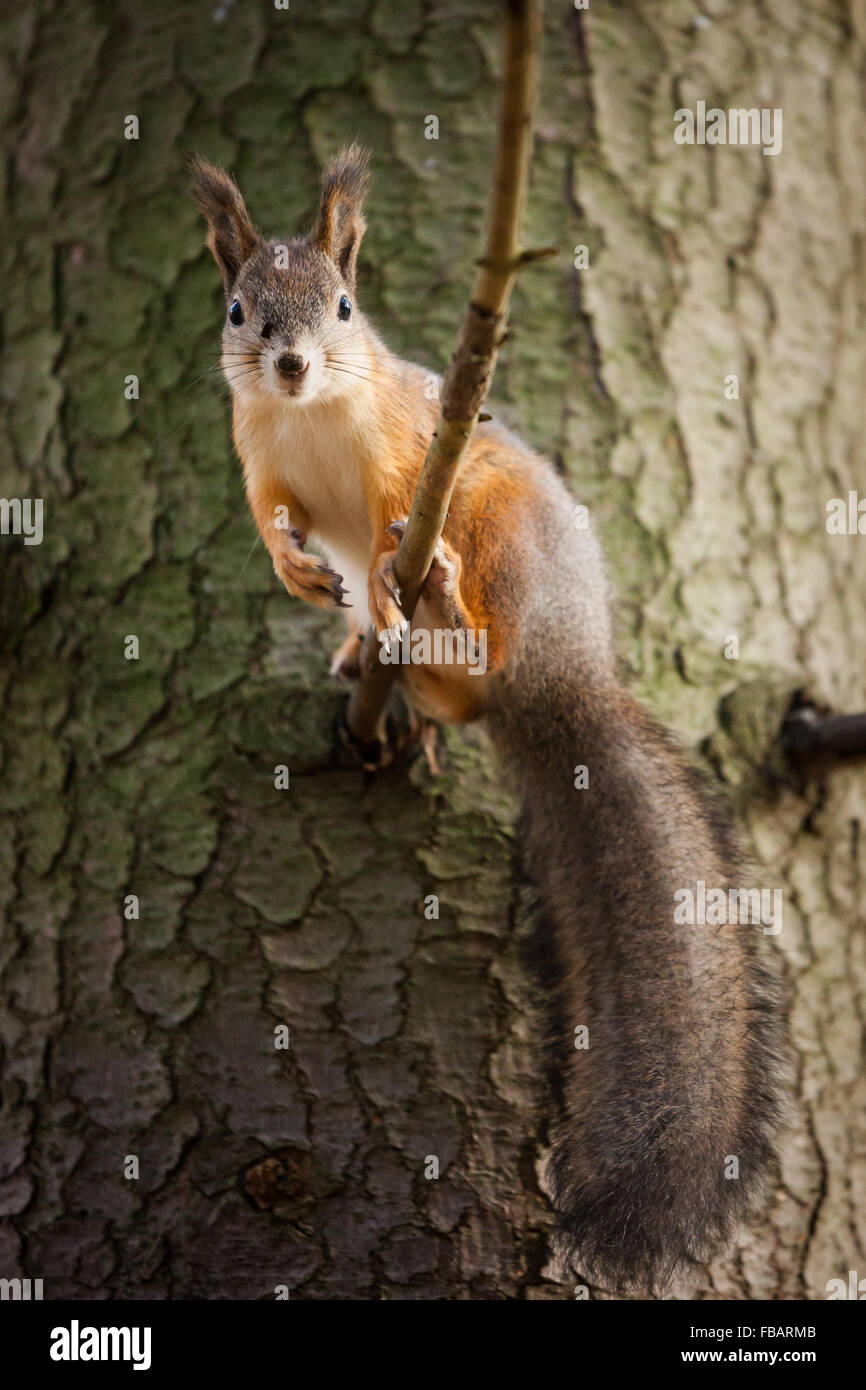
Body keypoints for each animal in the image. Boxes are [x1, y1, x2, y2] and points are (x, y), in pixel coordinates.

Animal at [191, 143, 785, 1294]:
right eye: (238, 310)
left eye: (343, 306)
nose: (290, 366)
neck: (311, 417)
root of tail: (564, 675)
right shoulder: (258, 457)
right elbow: (274, 519)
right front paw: (299, 573)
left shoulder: (408, 450)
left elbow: (392, 510)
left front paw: (391, 574)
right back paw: (384, 666)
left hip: (504, 534)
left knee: (474, 624)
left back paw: (443, 620)